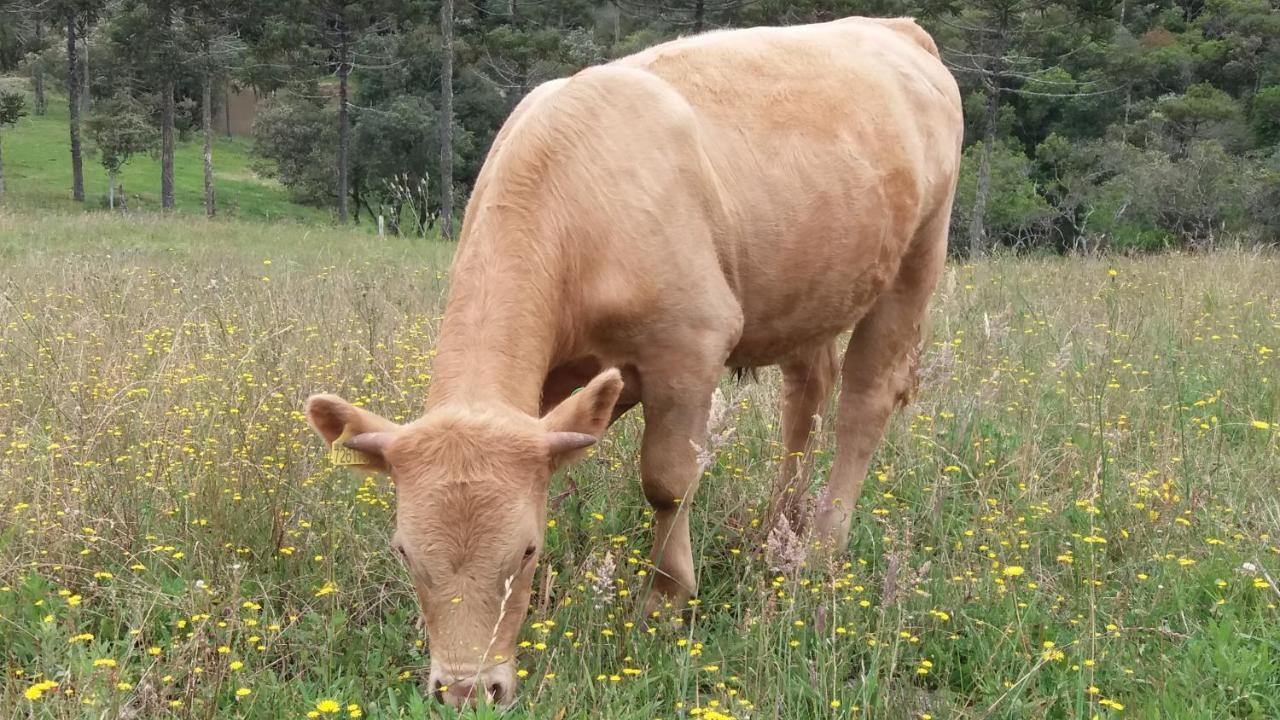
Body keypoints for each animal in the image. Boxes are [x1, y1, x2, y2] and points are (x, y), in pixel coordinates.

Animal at [302, 15, 962, 707]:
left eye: (527, 550)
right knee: (806, 396)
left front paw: (664, 601)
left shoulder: (690, 347)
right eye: (405, 553)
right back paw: (777, 528)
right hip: (812, 284)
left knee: (864, 400)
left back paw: (821, 551)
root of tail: (893, 26)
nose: (466, 691)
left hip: (919, 256)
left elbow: (668, 480)